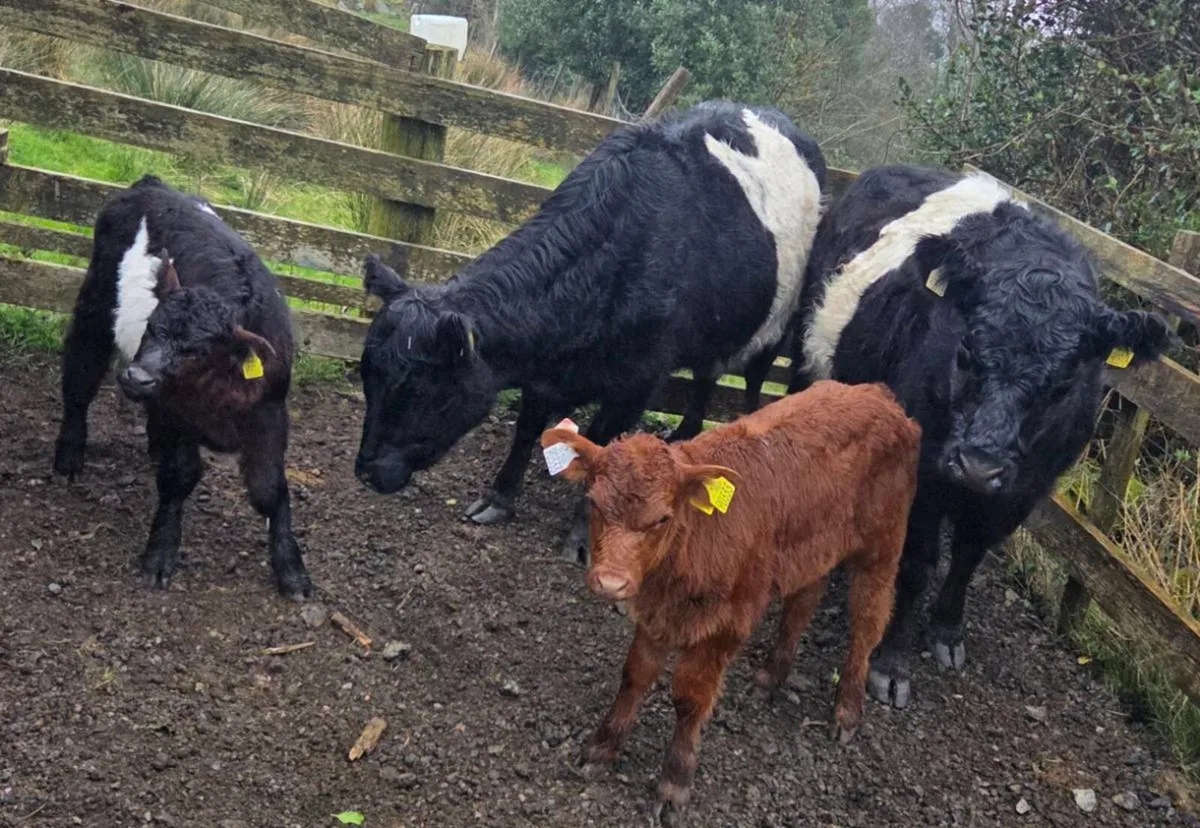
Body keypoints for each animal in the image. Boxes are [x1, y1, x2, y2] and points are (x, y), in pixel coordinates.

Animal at [52, 175, 312, 601]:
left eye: (198, 350)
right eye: (151, 326)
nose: (137, 377)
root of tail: (151, 184)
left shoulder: (271, 412)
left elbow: (269, 488)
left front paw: (291, 569)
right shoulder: (176, 414)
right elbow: (180, 476)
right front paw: (160, 553)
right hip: (96, 305)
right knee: (80, 373)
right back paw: (69, 455)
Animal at [353, 100, 826, 563]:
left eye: (421, 390)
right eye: (367, 375)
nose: (366, 471)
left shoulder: (637, 382)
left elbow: (606, 448)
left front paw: (582, 537)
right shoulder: (544, 377)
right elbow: (527, 429)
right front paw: (499, 498)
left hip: (778, 321)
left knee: (752, 379)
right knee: (708, 373)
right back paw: (684, 434)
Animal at [539, 380, 921, 825]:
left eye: (663, 518)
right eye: (595, 502)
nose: (612, 582)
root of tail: (875, 393)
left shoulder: (726, 622)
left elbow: (690, 698)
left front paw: (674, 783)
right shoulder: (656, 614)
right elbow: (635, 675)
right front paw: (602, 748)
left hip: (882, 547)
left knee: (868, 620)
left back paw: (847, 709)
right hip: (814, 545)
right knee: (802, 603)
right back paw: (771, 676)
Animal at [789, 164, 1172, 708]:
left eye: (1065, 381)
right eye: (966, 349)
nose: (977, 466)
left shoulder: (1020, 491)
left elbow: (969, 555)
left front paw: (947, 631)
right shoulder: (924, 475)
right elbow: (919, 564)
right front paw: (891, 663)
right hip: (808, 357)